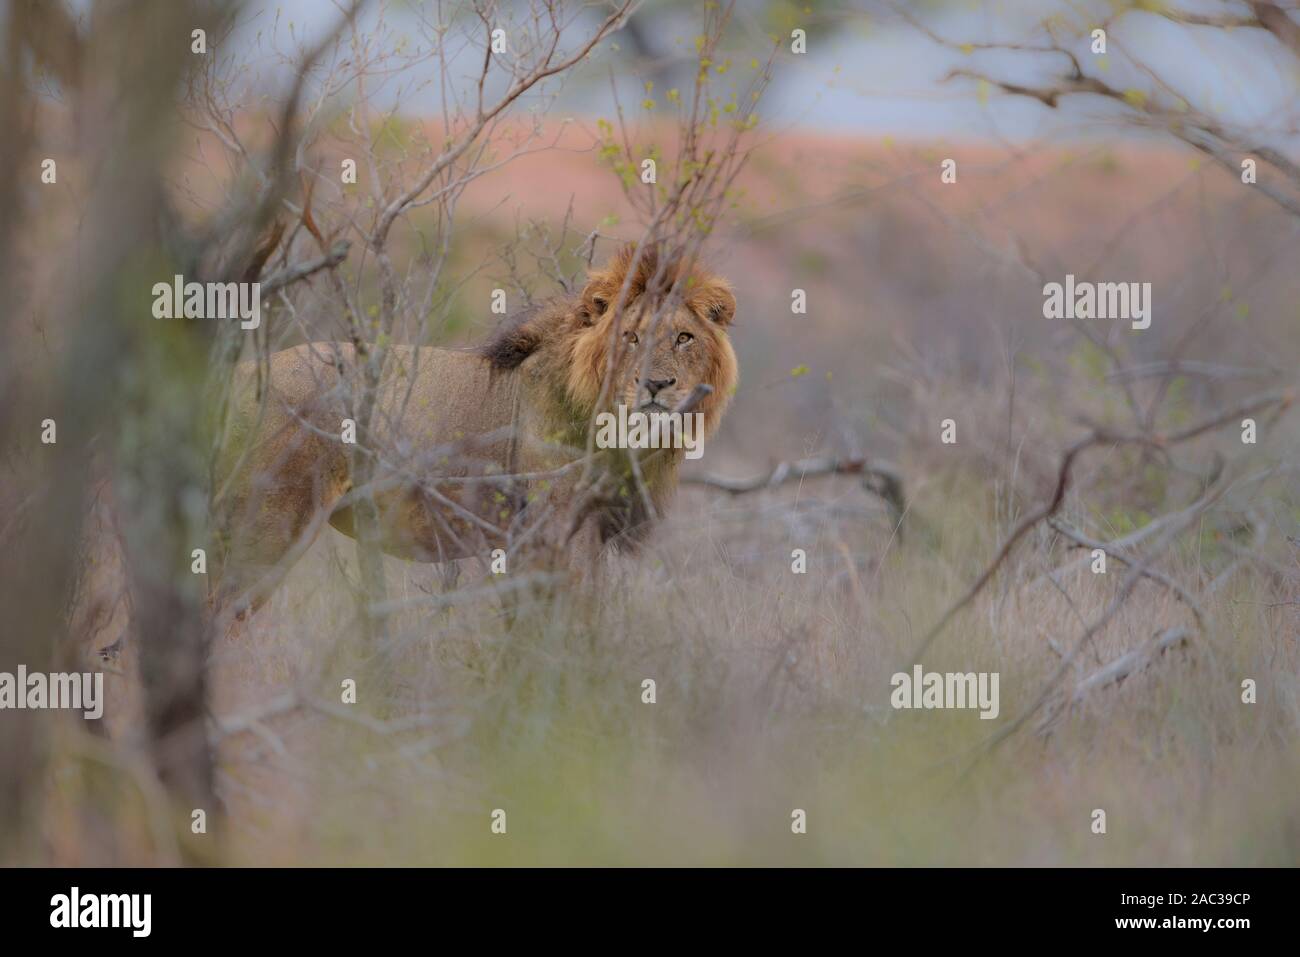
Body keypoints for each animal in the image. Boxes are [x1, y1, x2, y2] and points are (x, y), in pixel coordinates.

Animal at [210, 244, 738, 618]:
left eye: (684, 338)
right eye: (630, 337)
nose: (656, 384)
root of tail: (238, 376)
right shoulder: (553, 528)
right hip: (269, 523)